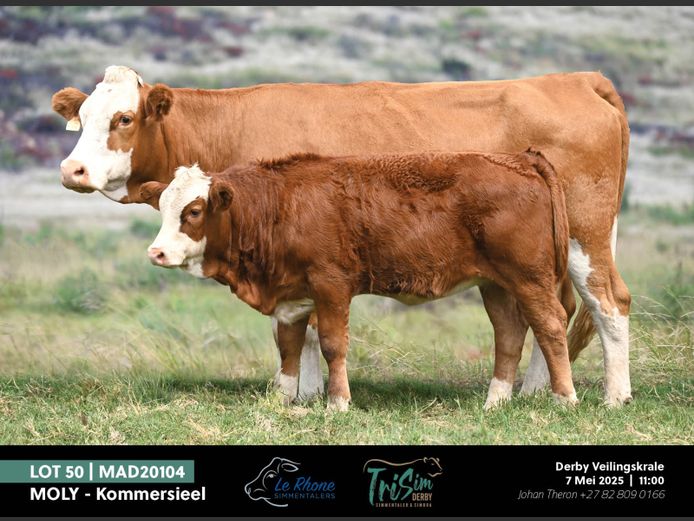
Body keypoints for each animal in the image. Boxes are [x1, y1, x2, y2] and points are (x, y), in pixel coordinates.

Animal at [141, 150, 576, 411]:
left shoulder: (331, 285)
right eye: (162, 206)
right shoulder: (291, 297)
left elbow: (333, 346)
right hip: (495, 284)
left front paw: (338, 403)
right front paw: (282, 401)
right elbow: (288, 349)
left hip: (529, 278)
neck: (279, 207)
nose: (156, 252)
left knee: (551, 325)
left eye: (194, 211)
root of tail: (519, 159)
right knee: (509, 334)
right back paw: (495, 402)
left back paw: (565, 398)